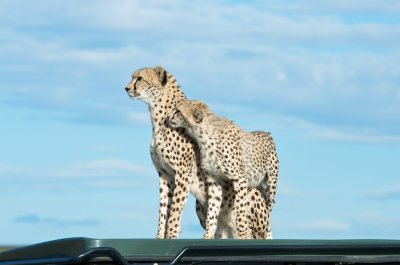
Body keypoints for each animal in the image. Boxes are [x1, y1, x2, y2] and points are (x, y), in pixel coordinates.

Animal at [166, 98, 278, 237]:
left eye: (178, 111)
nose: (168, 117)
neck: (203, 135)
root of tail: (265, 132)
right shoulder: (214, 180)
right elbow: (213, 211)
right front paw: (208, 234)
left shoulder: (240, 179)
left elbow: (241, 210)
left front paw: (242, 233)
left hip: (269, 190)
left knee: (267, 221)